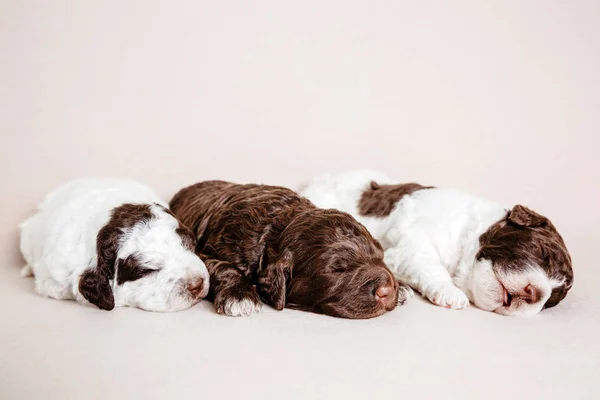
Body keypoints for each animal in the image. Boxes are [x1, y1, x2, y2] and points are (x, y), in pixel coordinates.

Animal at [169, 181, 412, 318]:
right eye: (337, 269)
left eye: (380, 256)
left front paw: (402, 287)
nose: (387, 290)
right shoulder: (205, 253)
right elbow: (225, 268)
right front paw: (239, 296)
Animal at [302, 169, 576, 316]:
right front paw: (450, 293)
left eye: (552, 299)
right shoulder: (412, 243)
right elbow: (428, 262)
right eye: (540, 251)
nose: (534, 294)